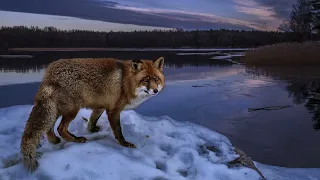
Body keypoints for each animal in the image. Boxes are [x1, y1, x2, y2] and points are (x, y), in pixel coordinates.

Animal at [20, 57, 165, 172]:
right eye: (145, 80)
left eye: (156, 79)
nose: (155, 90)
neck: (125, 82)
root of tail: (48, 74)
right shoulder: (114, 110)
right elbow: (118, 131)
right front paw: (124, 144)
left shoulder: (100, 106)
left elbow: (92, 120)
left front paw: (92, 130)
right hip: (72, 110)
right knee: (60, 128)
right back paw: (76, 139)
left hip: (57, 110)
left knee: (49, 127)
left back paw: (54, 141)